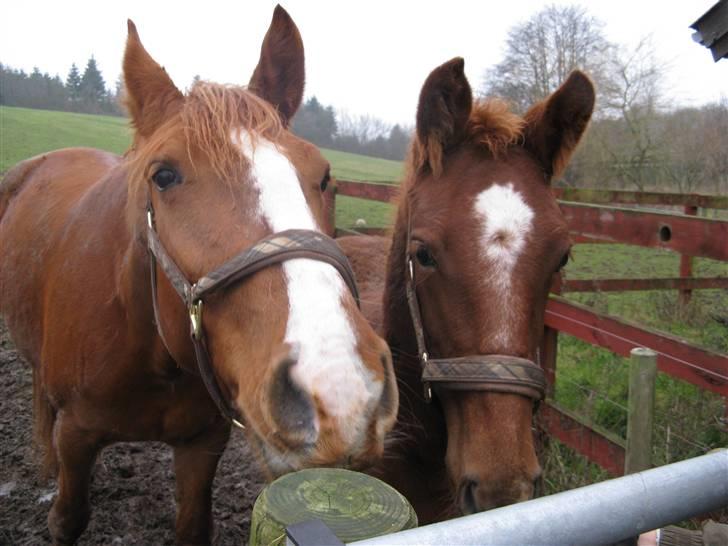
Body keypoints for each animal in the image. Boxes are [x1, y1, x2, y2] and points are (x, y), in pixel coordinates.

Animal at [0, 5, 396, 544]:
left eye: (324, 176)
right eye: (163, 176)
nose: (338, 389)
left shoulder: (203, 442)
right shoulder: (75, 437)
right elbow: (67, 520)